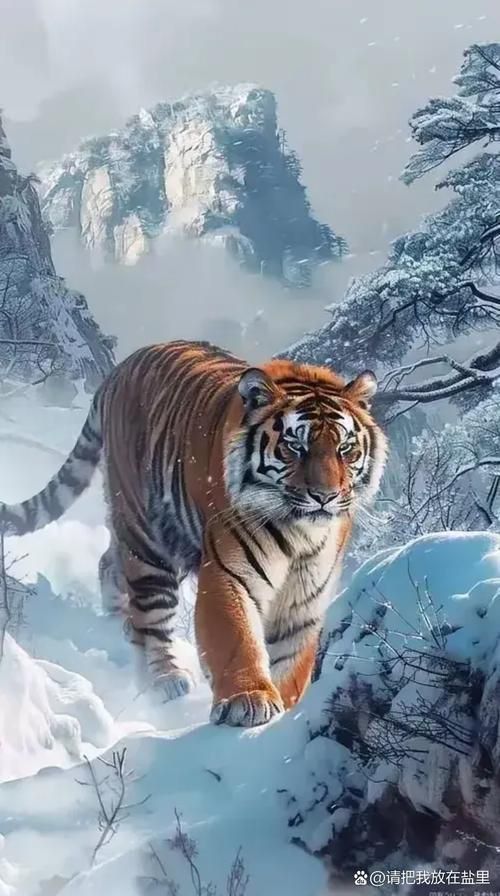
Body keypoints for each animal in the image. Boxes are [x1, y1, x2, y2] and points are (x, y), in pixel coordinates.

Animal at [1, 340, 387, 727]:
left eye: (345, 448)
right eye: (295, 447)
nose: (325, 496)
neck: (300, 532)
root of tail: (119, 369)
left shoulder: (305, 594)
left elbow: (293, 660)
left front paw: (286, 707)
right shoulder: (228, 573)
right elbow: (236, 639)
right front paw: (250, 700)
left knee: (108, 564)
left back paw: (115, 625)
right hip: (147, 538)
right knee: (151, 616)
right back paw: (164, 680)